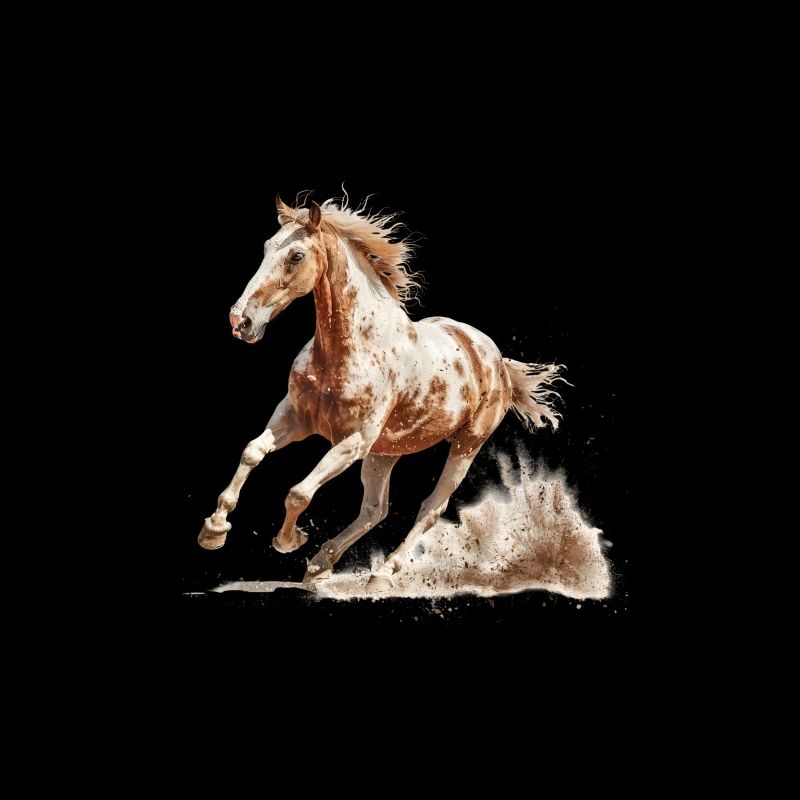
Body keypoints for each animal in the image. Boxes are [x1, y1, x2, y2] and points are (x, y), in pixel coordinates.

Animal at [198, 195, 566, 590]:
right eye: (266, 247)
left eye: (296, 255)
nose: (241, 321)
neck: (349, 348)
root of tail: (496, 362)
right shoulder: (294, 417)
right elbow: (253, 452)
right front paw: (214, 531)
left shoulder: (353, 442)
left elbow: (298, 492)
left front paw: (288, 540)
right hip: (387, 452)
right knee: (375, 509)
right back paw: (319, 565)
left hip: (466, 445)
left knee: (430, 508)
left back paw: (381, 574)